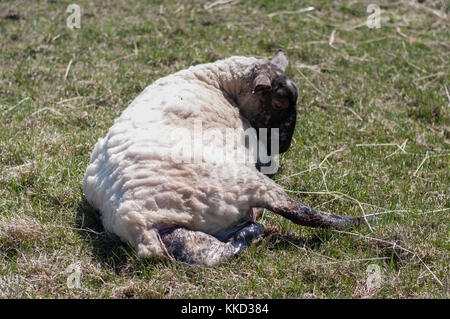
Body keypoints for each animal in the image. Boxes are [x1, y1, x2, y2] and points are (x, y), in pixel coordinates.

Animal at [83, 48, 366, 266]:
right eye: (279, 102)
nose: (284, 145)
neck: (220, 80)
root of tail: (139, 223)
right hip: (239, 183)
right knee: (297, 211)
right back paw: (355, 221)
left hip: (186, 229)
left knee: (205, 253)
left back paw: (251, 233)